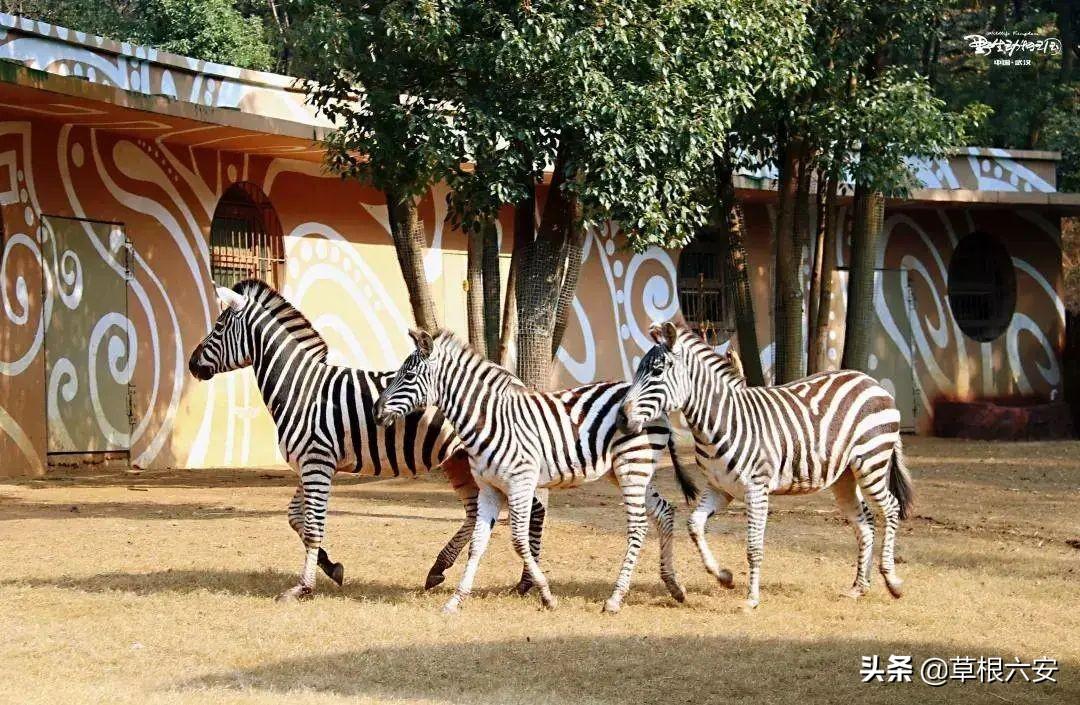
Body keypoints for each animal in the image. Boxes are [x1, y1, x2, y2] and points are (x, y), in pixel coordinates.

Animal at [184, 278, 548, 600]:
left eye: (219, 326)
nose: (190, 364)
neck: (301, 388)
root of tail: (514, 378)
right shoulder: (307, 465)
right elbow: (296, 518)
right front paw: (331, 567)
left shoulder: (317, 463)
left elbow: (312, 526)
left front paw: (304, 588)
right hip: (459, 458)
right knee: (476, 512)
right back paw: (439, 570)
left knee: (533, 508)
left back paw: (526, 582)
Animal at [375, 328, 695, 608]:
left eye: (409, 375)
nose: (377, 412)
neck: (489, 420)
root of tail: (659, 404)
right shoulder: (489, 488)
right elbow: (477, 544)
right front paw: (456, 600)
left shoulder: (520, 483)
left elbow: (518, 541)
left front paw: (546, 595)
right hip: (625, 471)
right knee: (665, 512)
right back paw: (675, 586)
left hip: (632, 465)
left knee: (639, 526)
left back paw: (616, 598)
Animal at [617, 321, 911, 608]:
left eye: (656, 372)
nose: (621, 418)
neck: (720, 421)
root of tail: (872, 382)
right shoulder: (720, 487)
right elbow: (694, 525)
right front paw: (723, 576)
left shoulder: (756, 488)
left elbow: (753, 547)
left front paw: (752, 599)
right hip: (844, 476)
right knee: (865, 521)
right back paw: (859, 587)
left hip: (871, 462)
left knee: (891, 508)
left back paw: (892, 582)